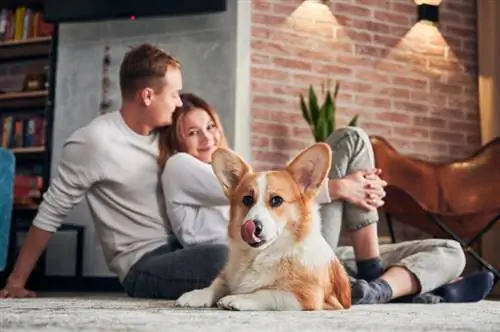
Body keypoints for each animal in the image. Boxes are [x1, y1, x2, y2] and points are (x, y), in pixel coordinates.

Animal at [176, 143, 352, 312]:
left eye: (277, 200)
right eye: (247, 199)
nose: (253, 226)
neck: (260, 256)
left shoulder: (306, 295)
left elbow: (267, 293)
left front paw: (237, 298)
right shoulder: (227, 275)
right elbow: (216, 284)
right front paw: (196, 295)